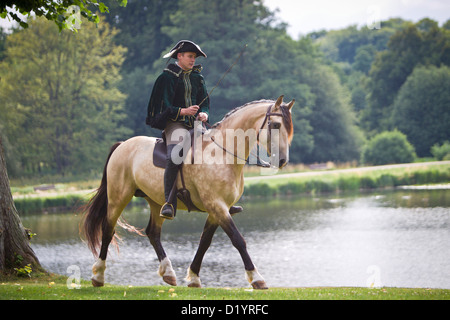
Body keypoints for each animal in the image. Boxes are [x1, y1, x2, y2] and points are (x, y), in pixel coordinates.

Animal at [81, 95, 296, 290]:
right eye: (275, 125)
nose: (282, 161)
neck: (222, 154)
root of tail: (122, 145)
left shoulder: (217, 210)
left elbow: (204, 242)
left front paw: (193, 277)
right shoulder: (217, 206)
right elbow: (238, 240)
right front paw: (256, 278)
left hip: (156, 202)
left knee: (153, 233)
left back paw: (168, 273)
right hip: (118, 198)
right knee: (108, 230)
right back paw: (98, 276)